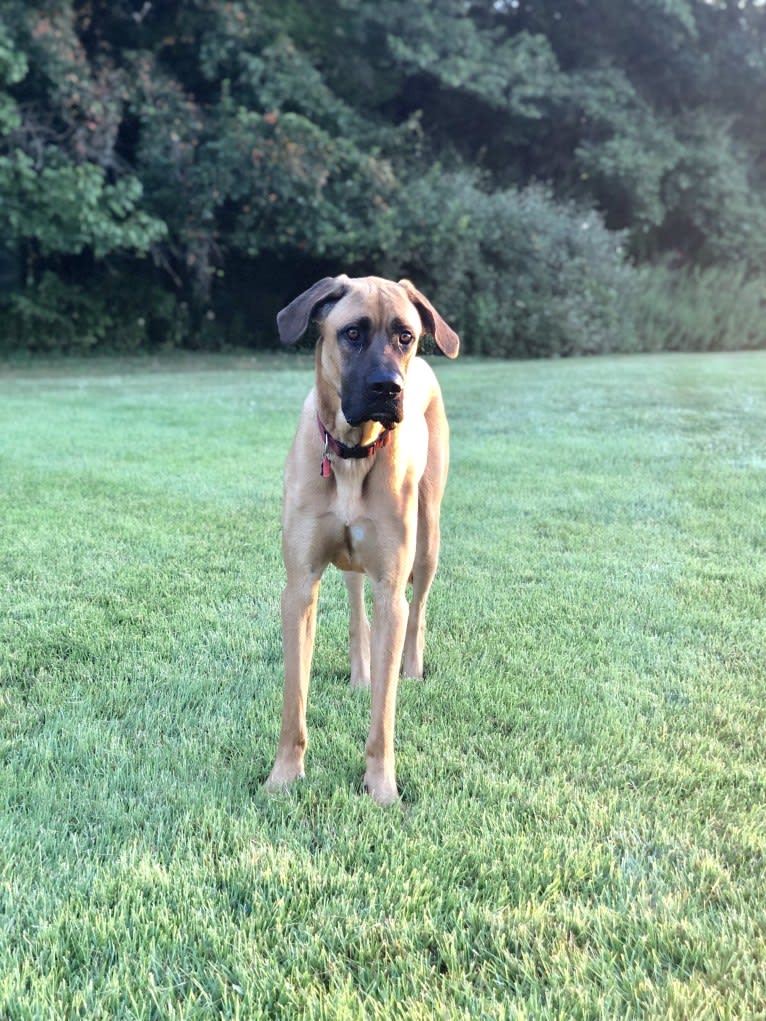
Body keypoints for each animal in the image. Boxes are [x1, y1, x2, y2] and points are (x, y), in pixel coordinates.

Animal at [267, 273, 459, 804]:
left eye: (406, 336)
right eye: (352, 333)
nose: (388, 388)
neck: (352, 452)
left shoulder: (391, 588)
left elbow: (383, 713)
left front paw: (381, 786)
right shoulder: (299, 587)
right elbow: (294, 700)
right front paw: (283, 776)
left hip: (428, 538)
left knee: (420, 609)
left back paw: (412, 668)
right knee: (356, 612)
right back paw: (359, 673)